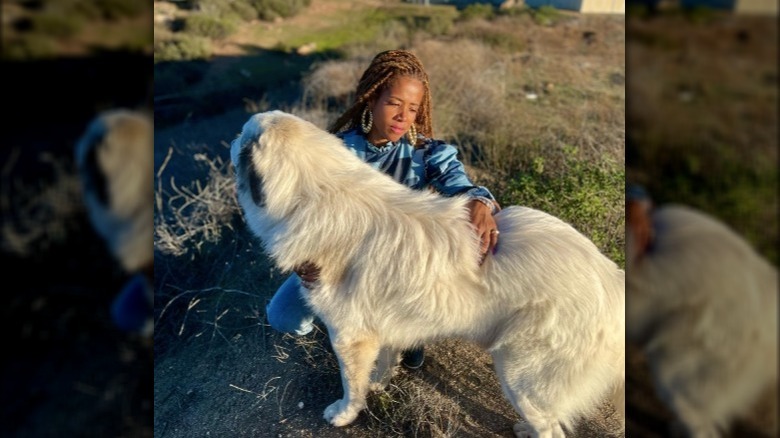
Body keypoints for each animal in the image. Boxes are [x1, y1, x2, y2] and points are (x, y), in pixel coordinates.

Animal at [229, 110, 624, 438]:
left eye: (243, 135)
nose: (230, 140)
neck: (317, 193)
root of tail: (610, 277)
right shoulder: (378, 326)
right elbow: (382, 361)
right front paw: (378, 381)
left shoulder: (348, 337)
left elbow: (350, 383)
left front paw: (344, 413)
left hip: (521, 373)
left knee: (550, 428)